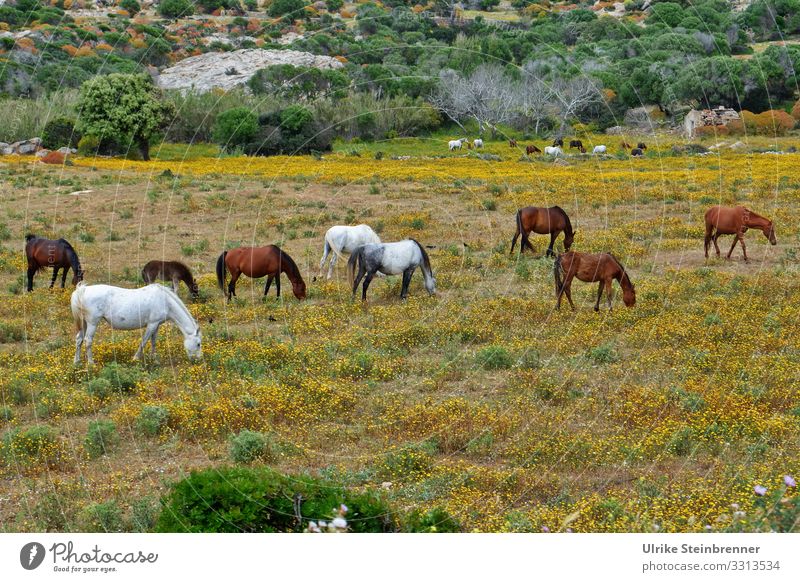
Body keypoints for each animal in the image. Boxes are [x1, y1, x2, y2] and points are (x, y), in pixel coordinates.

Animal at [71, 282, 203, 364]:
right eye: (198, 344)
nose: (199, 360)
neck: (165, 301)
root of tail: (83, 290)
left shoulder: (156, 325)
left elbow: (153, 341)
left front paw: (154, 359)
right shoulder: (152, 324)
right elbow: (144, 342)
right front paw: (135, 358)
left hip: (84, 323)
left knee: (79, 339)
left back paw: (77, 362)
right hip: (92, 323)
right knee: (88, 341)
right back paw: (91, 363)